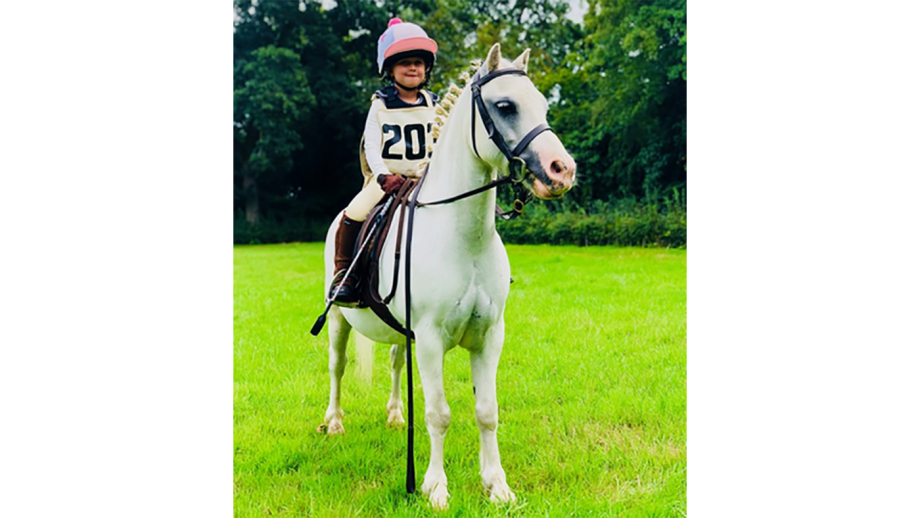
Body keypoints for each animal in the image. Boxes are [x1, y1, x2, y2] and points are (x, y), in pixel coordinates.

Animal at [320, 43, 576, 509]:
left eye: (542, 104)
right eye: (506, 106)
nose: (561, 170)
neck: (464, 236)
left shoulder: (489, 337)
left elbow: (487, 412)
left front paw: (497, 486)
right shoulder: (431, 339)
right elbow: (439, 414)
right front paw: (435, 488)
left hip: (401, 333)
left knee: (394, 361)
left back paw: (395, 416)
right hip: (337, 320)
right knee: (337, 365)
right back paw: (334, 423)